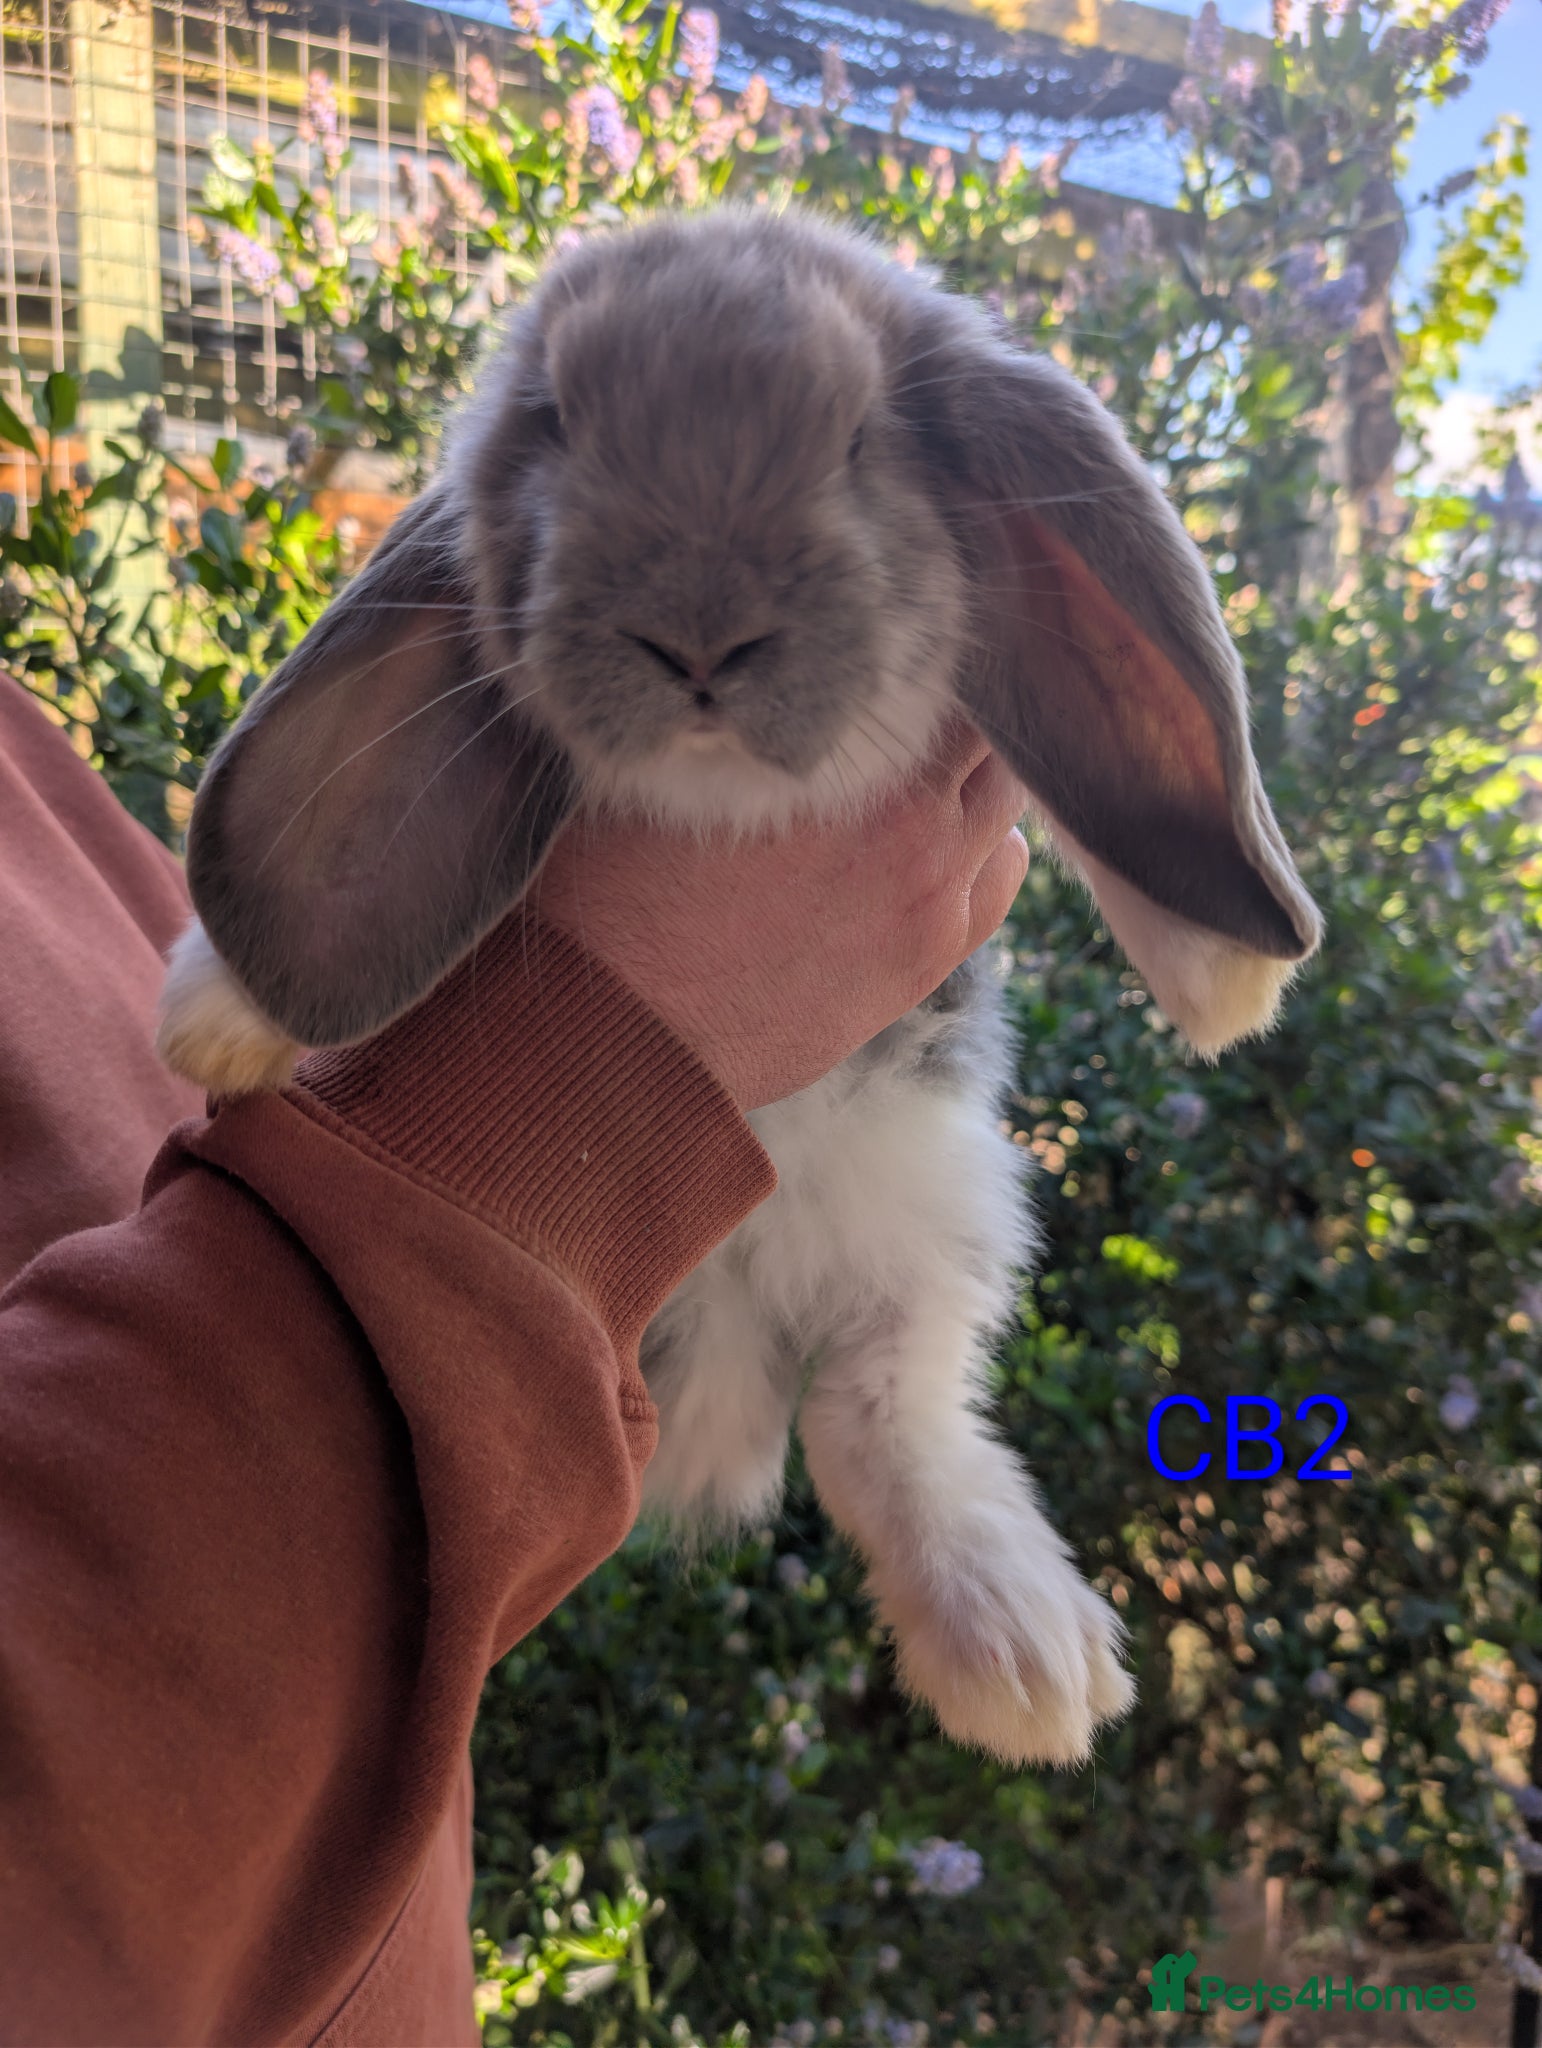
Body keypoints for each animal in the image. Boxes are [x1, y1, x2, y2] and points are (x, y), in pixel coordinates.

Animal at [157, 204, 1322, 1768]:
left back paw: (1016, 1653)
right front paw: (219, 1009)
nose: (697, 636)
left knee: (884, 1416)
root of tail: (720, 1363)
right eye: (557, 419)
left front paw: (1228, 980)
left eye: (861, 438)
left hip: (941, 1215)